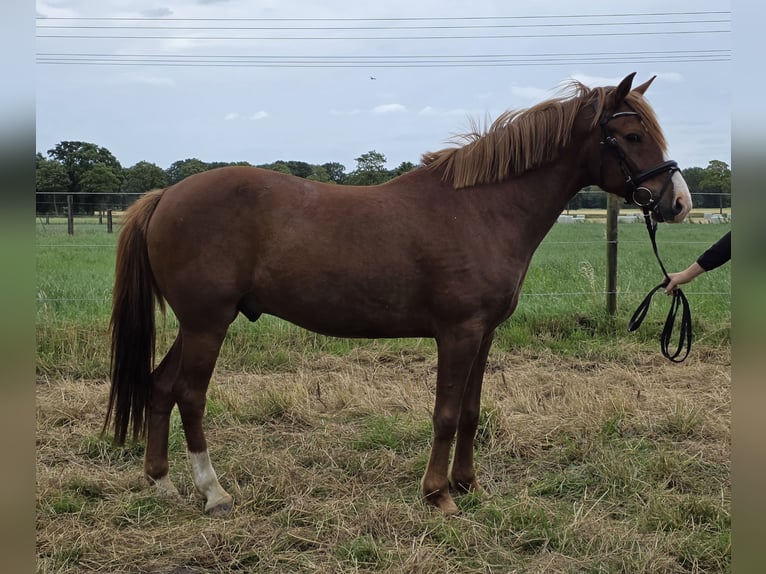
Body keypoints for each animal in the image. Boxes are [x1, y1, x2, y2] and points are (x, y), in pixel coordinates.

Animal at [104, 73, 692, 516]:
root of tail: (166, 195)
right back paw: (214, 493)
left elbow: (472, 411)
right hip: (208, 323)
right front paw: (438, 496)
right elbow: (446, 413)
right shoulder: (457, 334)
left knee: (160, 386)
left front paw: (467, 485)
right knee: (190, 395)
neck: (481, 210)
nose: (679, 203)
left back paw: (162, 482)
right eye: (632, 136)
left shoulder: (483, 334)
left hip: (197, 324)